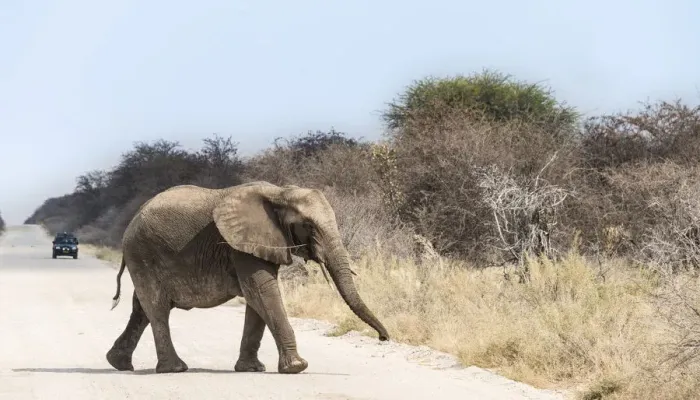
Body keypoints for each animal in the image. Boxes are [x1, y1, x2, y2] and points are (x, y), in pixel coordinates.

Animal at [105, 181, 389, 374]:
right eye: (308, 226)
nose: (383, 339)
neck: (279, 193)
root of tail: (132, 220)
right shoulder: (240, 245)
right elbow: (262, 291)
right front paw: (297, 367)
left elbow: (257, 299)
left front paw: (252, 369)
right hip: (143, 253)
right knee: (157, 308)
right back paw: (174, 369)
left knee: (141, 309)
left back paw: (118, 363)